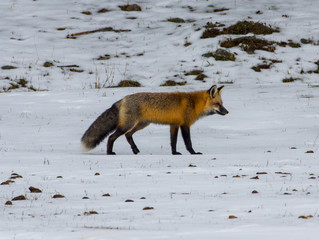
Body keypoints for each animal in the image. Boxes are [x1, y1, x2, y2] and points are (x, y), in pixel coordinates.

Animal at [81, 85, 229, 155]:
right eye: (218, 104)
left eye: (222, 104)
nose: (227, 112)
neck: (193, 103)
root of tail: (123, 99)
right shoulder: (184, 125)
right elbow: (188, 142)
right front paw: (193, 153)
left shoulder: (174, 125)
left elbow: (173, 142)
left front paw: (174, 153)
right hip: (128, 125)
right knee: (111, 137)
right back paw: (109, 152)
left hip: (142, 124)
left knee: (128, 135)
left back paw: (135, 150)